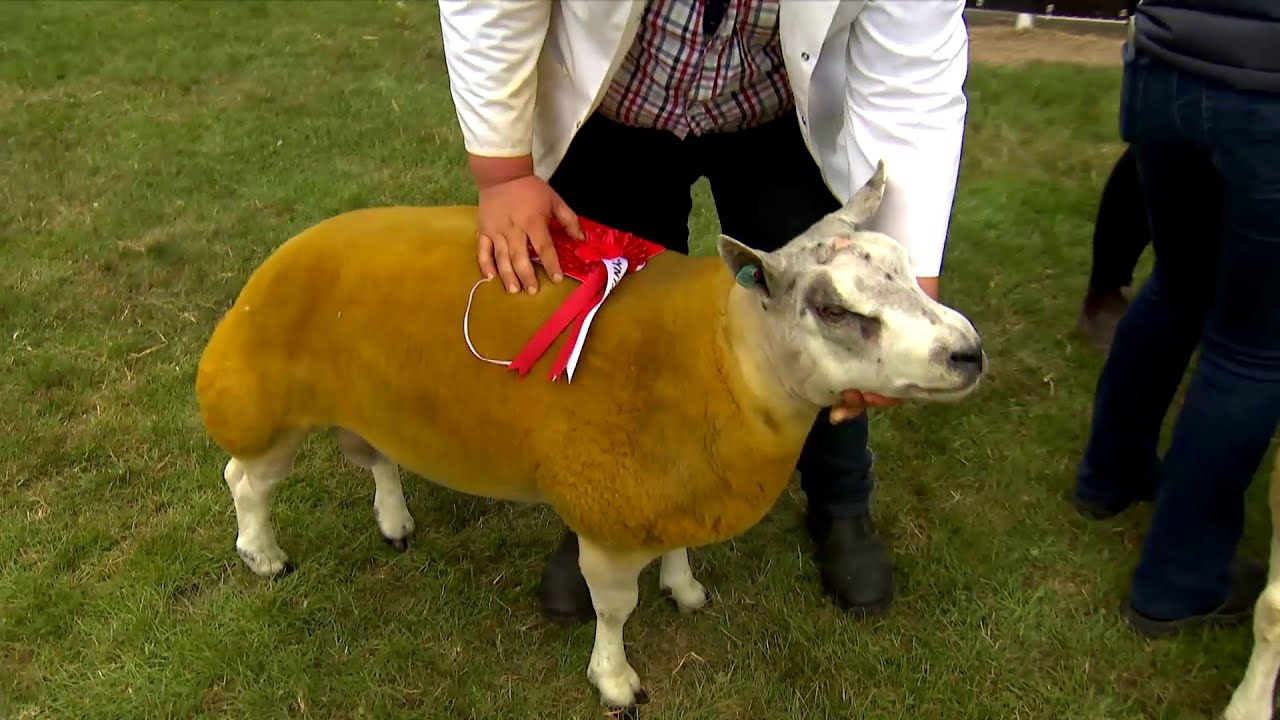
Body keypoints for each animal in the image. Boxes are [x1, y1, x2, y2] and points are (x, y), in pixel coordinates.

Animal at [194, 161, 987, 710]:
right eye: (832, 308)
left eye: (907, 271)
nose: (968, 354)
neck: (720, 359)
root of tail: (290, 248)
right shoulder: (611, 511)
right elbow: (614, 609)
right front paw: (615, 681)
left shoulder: (672, 484)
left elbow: (677, 549)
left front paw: (685, 589)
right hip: (261, 401)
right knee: (245, 480)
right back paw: (262, 556)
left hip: (374, 399)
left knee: (377, 457)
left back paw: (394, 522)